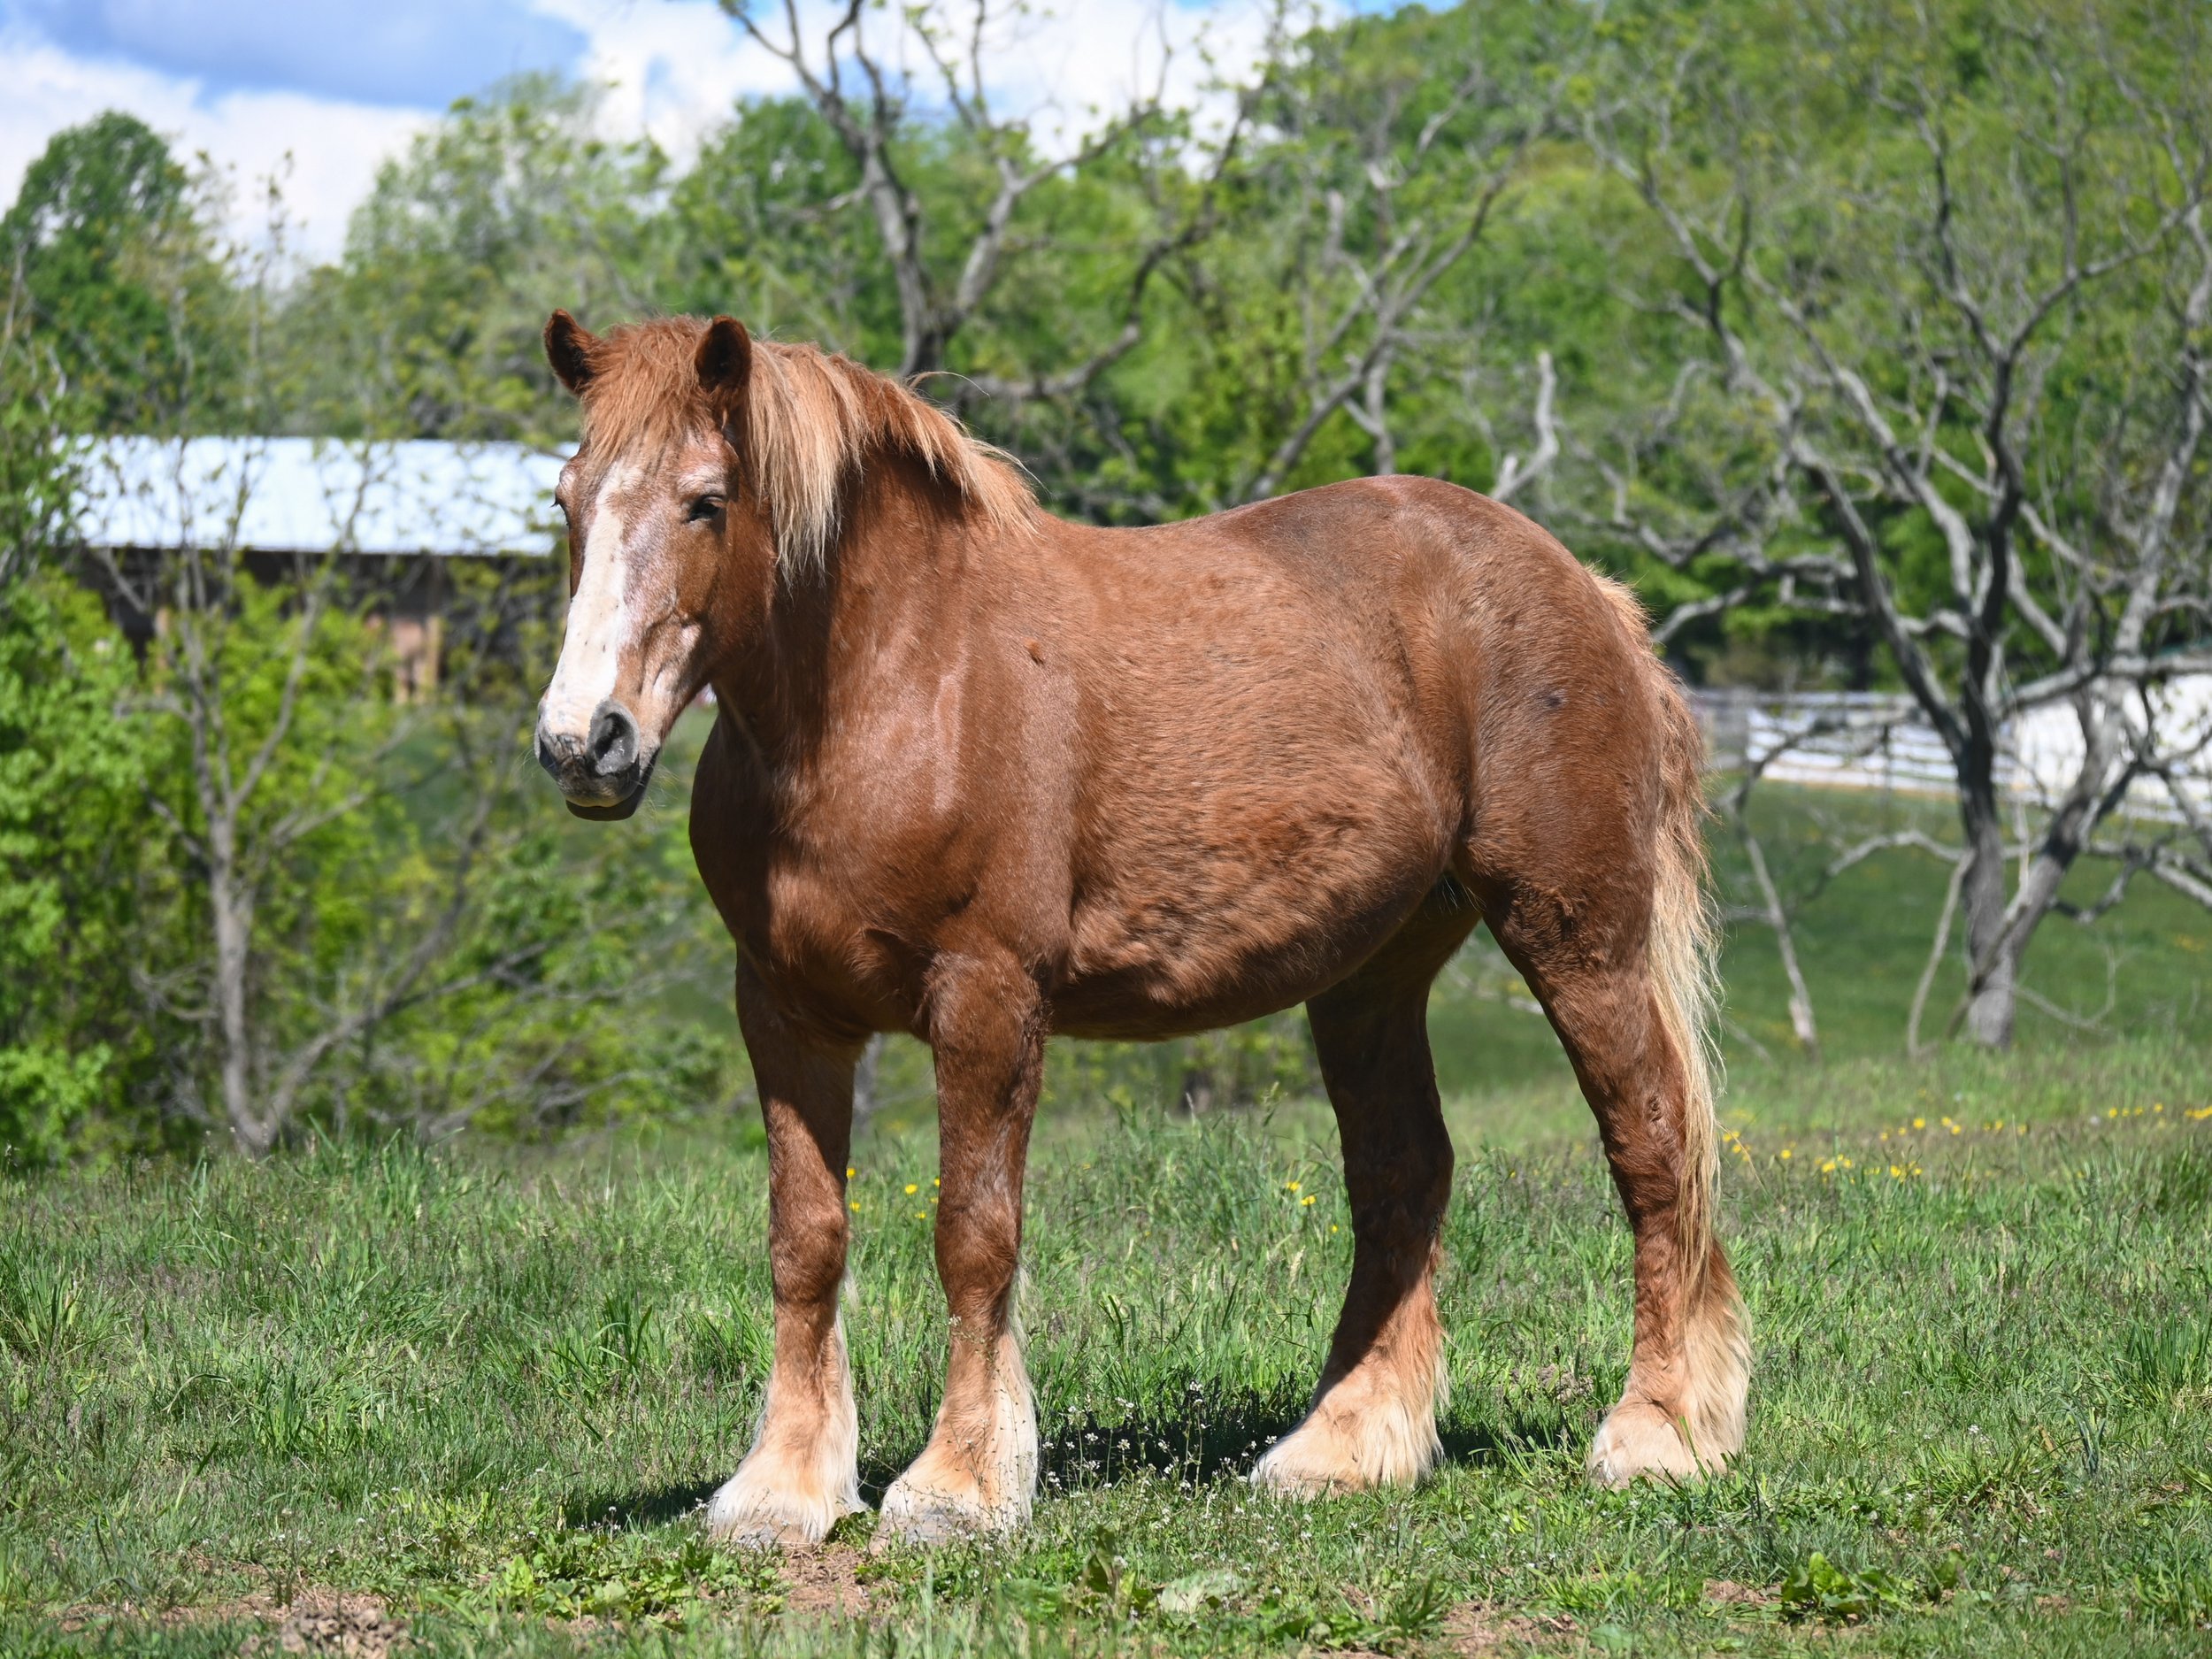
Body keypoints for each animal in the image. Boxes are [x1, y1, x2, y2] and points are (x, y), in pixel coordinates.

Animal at [531, 310, 1743, 1548]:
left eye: (706, 500)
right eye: (567, 500)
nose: (585, 744)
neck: (904, 684)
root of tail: (1581, 584)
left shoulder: (987, 1000)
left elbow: (973, 1234)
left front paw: (958, 1487)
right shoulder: (785, 1011)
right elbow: (805, 1239)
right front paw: (783, 1489)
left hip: (1575, 935)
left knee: (1650, 1143)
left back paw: (1660, 1435)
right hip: (1371, 975)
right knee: (1403, 1174)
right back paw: (1346, 1449)